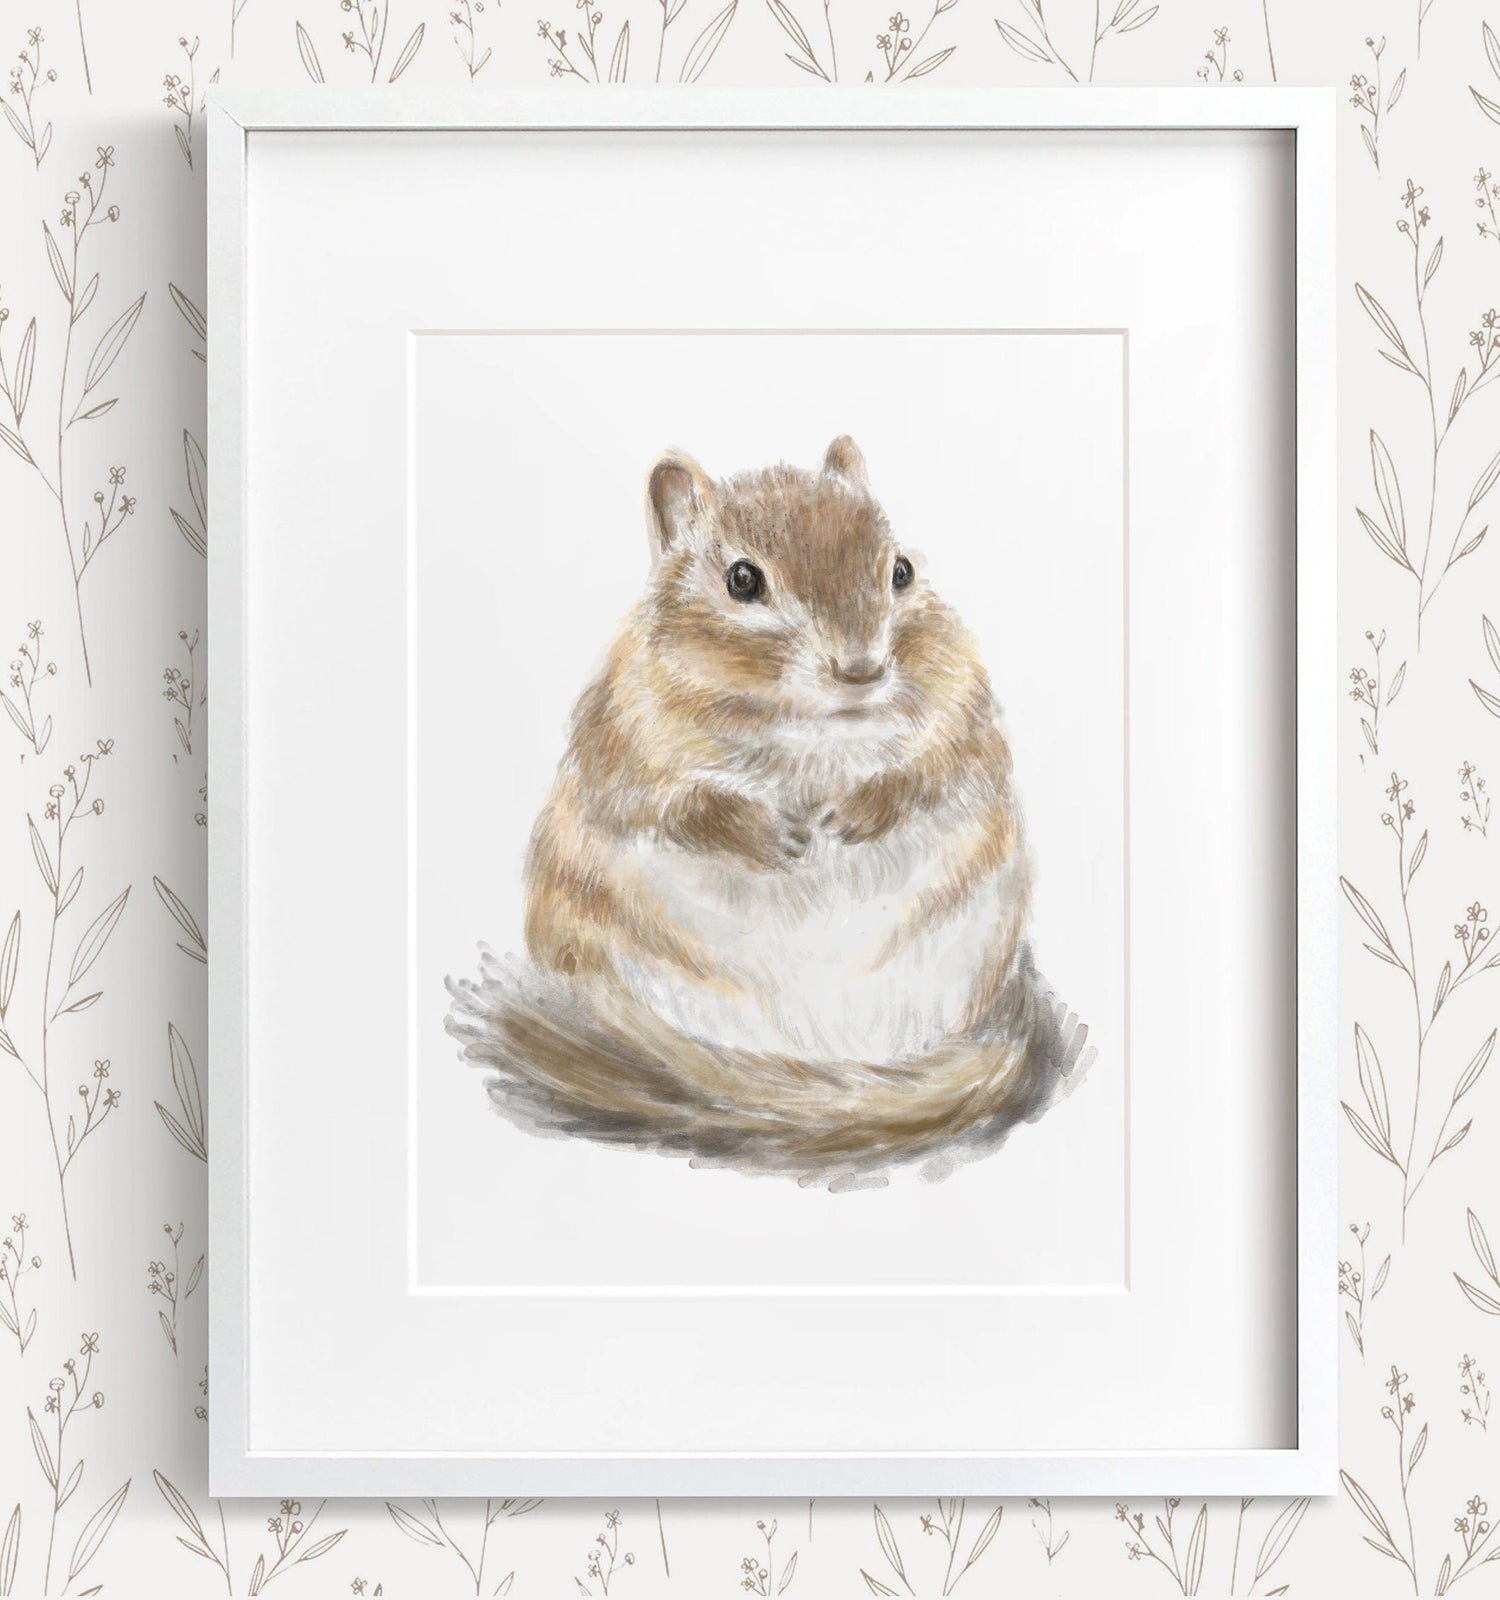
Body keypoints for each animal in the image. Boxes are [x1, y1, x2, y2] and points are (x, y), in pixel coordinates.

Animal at [448, 437, 1090, 1184]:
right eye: (742, 581)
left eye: (900, 571)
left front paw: (855, 813)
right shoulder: (627, 745)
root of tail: (816, 1058)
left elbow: (934, 771)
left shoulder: (964, 716)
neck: (810, 729)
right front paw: (769, 834)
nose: (862, 670)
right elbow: (679, 807)